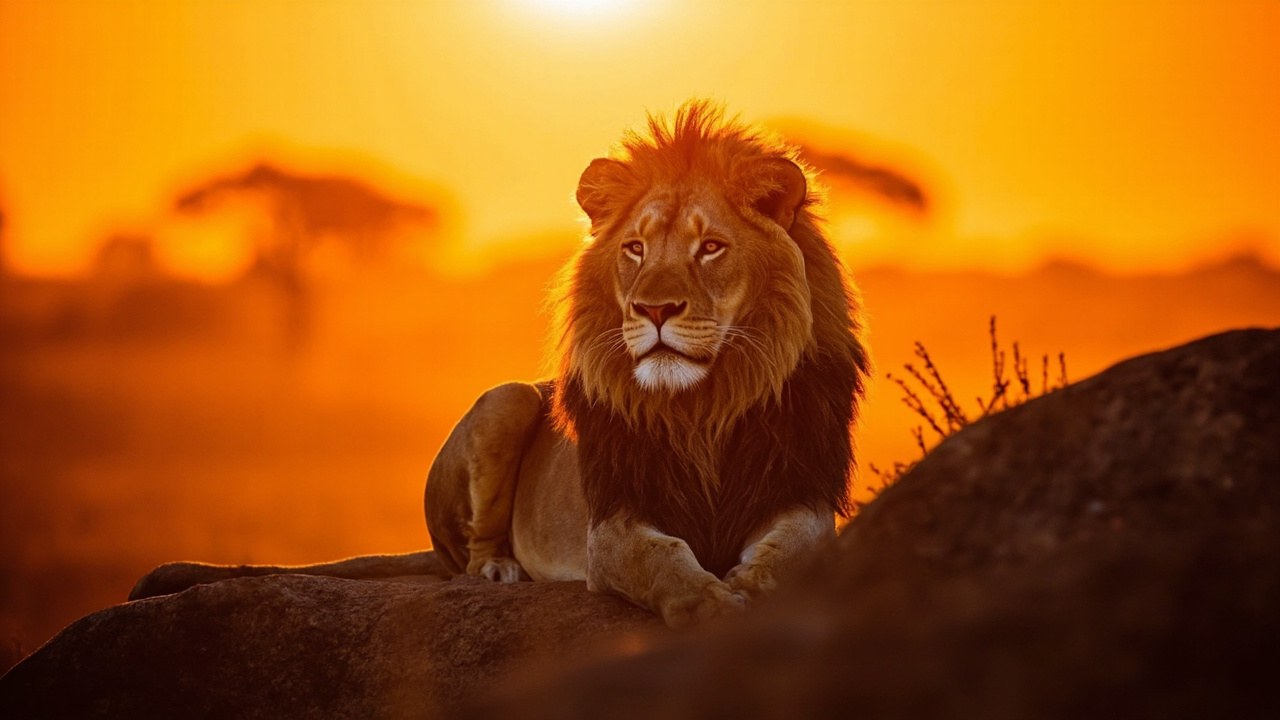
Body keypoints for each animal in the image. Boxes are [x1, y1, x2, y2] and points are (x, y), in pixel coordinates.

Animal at [131, 101, 869, 629]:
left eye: (711, 247)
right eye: (634, 248)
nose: (653, 308)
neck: (705, 405)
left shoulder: (801, 493)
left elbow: (787, 552)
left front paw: (748, 585)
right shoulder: (613, 524)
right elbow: (665, 559)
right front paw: (708, 603)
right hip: (507, 399)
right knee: (465, 557)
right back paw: (498, 571)